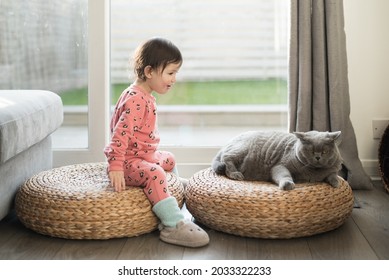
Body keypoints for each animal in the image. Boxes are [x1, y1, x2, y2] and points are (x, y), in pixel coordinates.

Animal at [211, 131, 342, 190]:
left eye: (324, 152)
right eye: (311, 151)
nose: (318, 157)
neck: (315, 172)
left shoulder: (333, 169)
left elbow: (332, 175)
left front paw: (336, 183)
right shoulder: (280, 166)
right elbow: (284, 175)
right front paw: (288, 184)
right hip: (240, 149)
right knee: (226, 158)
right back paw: (236, 174)